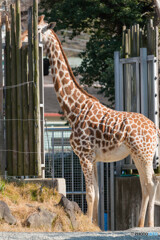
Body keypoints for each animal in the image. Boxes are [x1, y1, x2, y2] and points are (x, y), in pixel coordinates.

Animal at [38, 16, 160, 227]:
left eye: (38, 30)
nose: (24, 38)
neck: (74, 109)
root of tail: (154, 127)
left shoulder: (84, 155)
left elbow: (90, 194)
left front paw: (86, 225)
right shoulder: (93, 158)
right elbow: (97, 194)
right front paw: (95, 225)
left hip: (143, 154)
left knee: (150, 183)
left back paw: (146, 225)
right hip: (140, 154)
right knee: (148, 183)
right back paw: (142, 224)